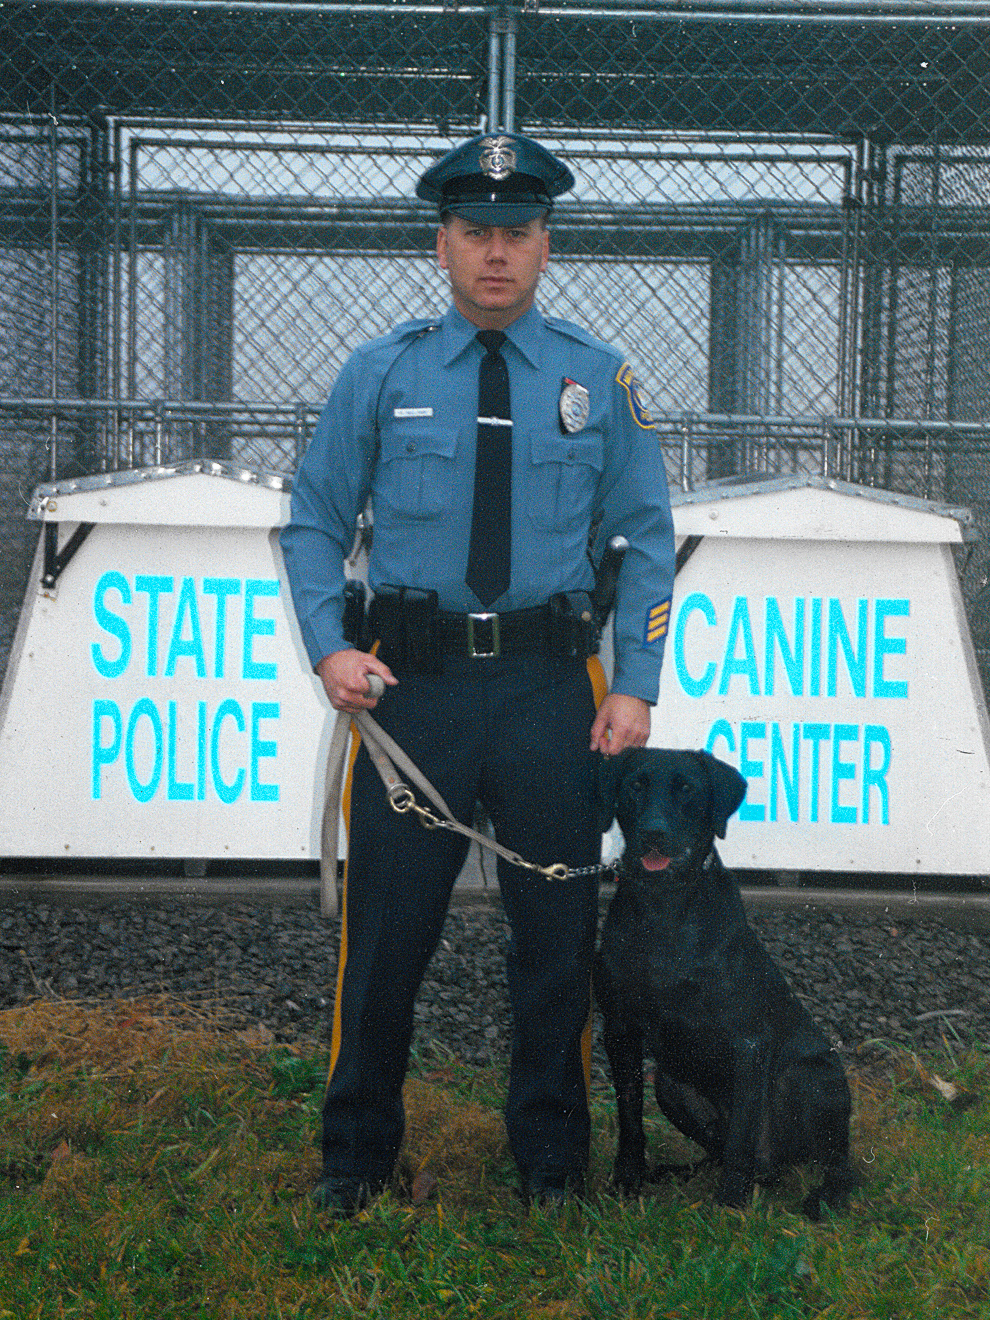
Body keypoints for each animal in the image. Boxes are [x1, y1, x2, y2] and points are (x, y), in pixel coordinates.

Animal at [596, 749, 860, 1219]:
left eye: (687, 789)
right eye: (635, 786)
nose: (654, 833)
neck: (665, 905)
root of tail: (778, 1163)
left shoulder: (748, 1041)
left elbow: (741, 1135)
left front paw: (731, 1204)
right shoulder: (620, 1029)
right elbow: (629, 1117)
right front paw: (628, 1179)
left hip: (811, 1077)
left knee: (838, 1164)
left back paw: (822, 1197)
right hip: (672, 1085)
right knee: (716, 1151)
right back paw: (678, 1172)